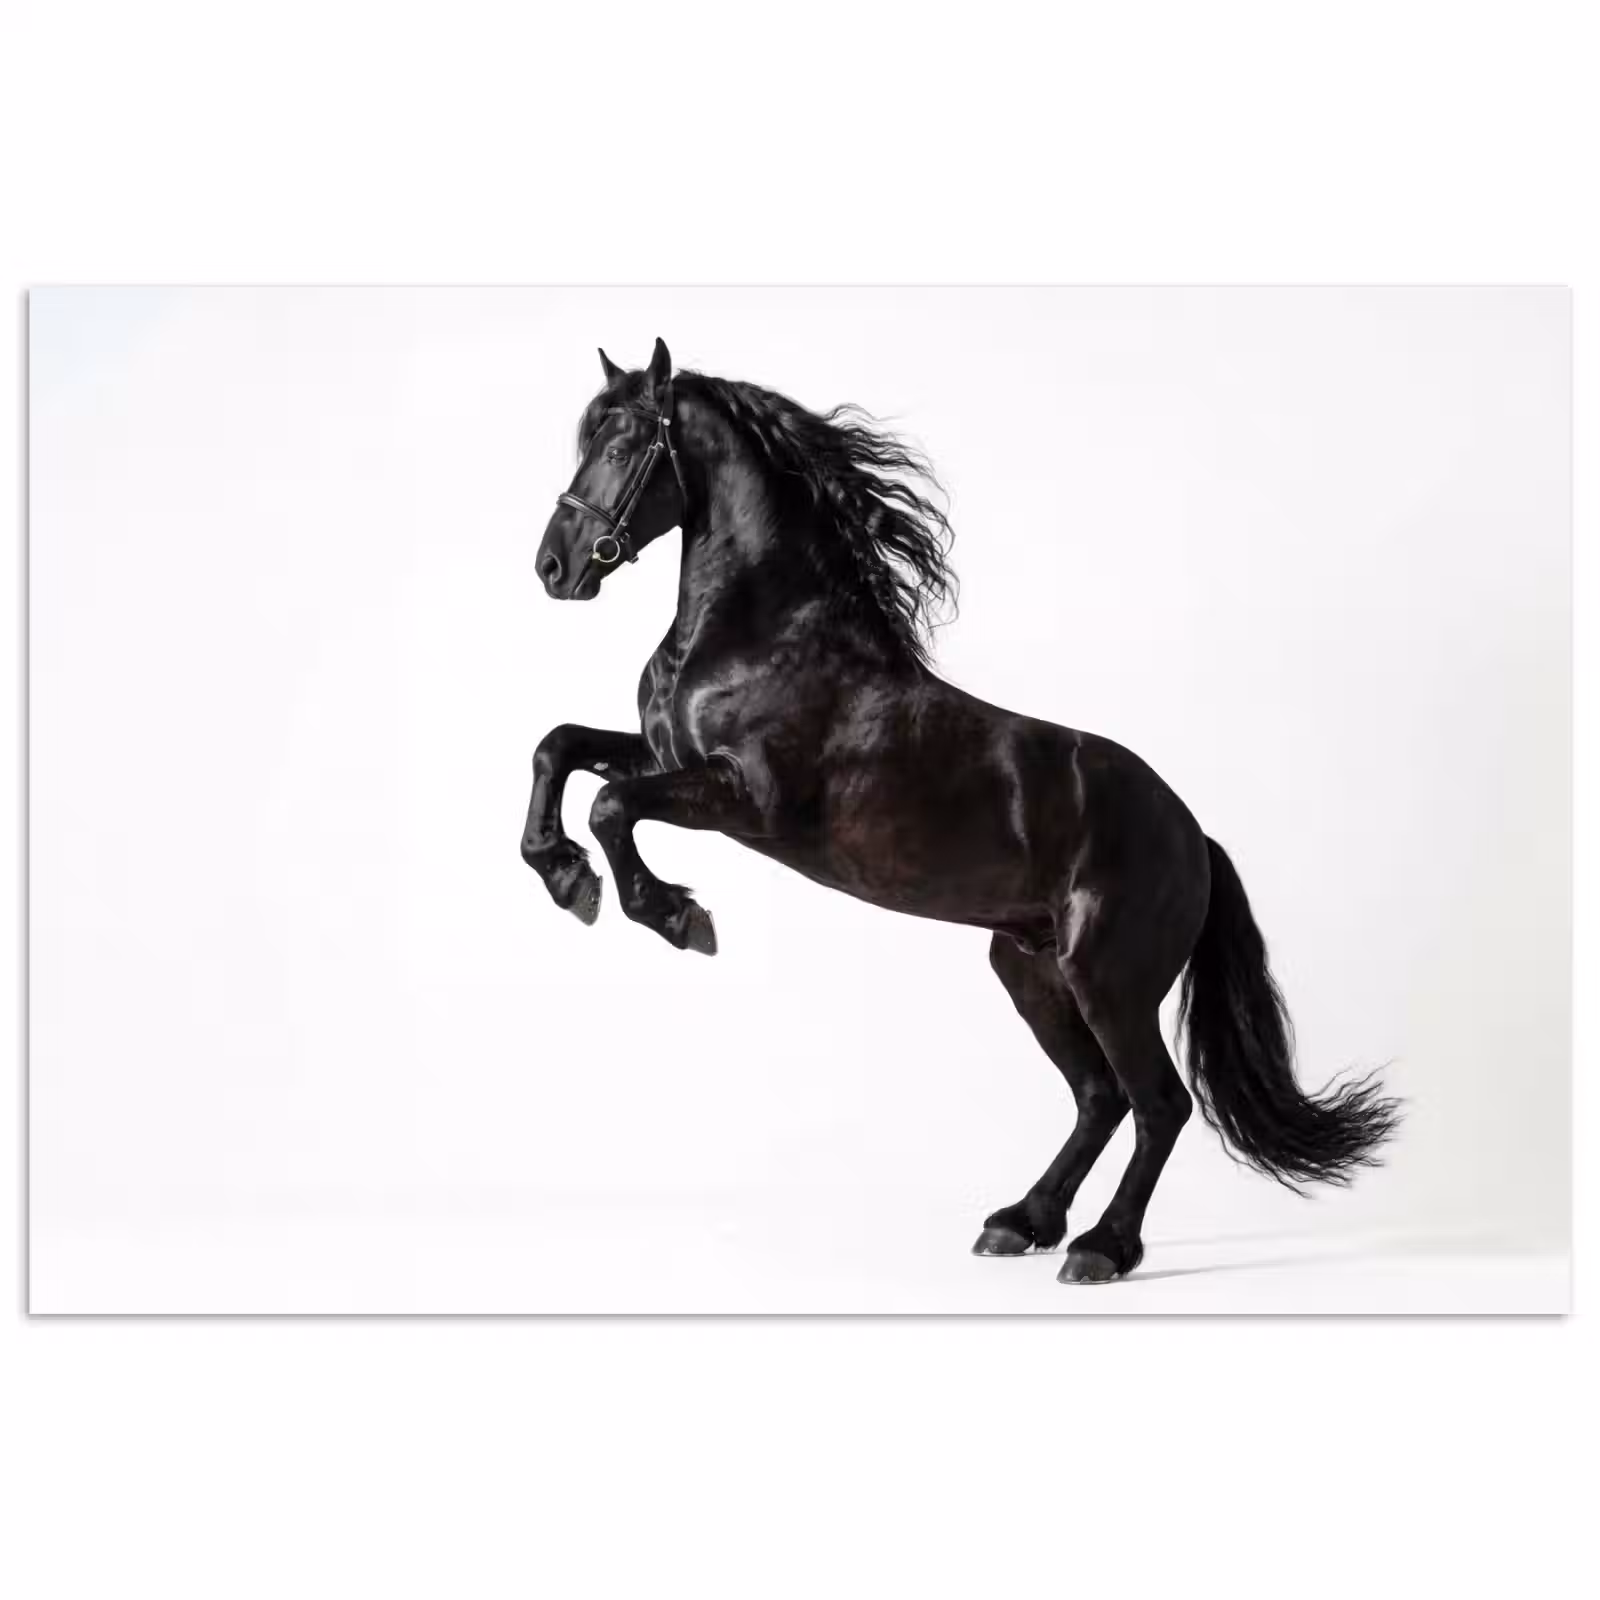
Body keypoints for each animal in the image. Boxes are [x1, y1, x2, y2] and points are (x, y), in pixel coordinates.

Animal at [522, 338, 1400, 1285]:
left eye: (621, 445)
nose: (554, 567)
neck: (760, 635)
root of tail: (1195, 837)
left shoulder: (743, 799)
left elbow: (611, 804)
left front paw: (675, 916)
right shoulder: (666, 759)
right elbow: (559, 748)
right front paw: (565, 876)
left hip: (1110, 979)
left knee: (1157, 1102)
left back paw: (1101, 1248)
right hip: (1030, 970)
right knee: (1099, 1098)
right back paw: (1021, 1222)